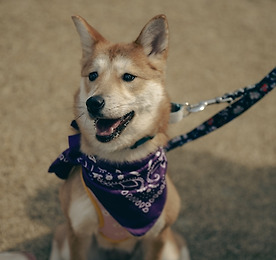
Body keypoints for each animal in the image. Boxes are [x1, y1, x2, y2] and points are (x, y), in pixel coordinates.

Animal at [48, 14, 189, 260]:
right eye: (93, 75)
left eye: (129, 77)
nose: (93, 103)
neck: (119, 168)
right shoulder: (78, 232)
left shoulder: (156, 237)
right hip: (62, 237)